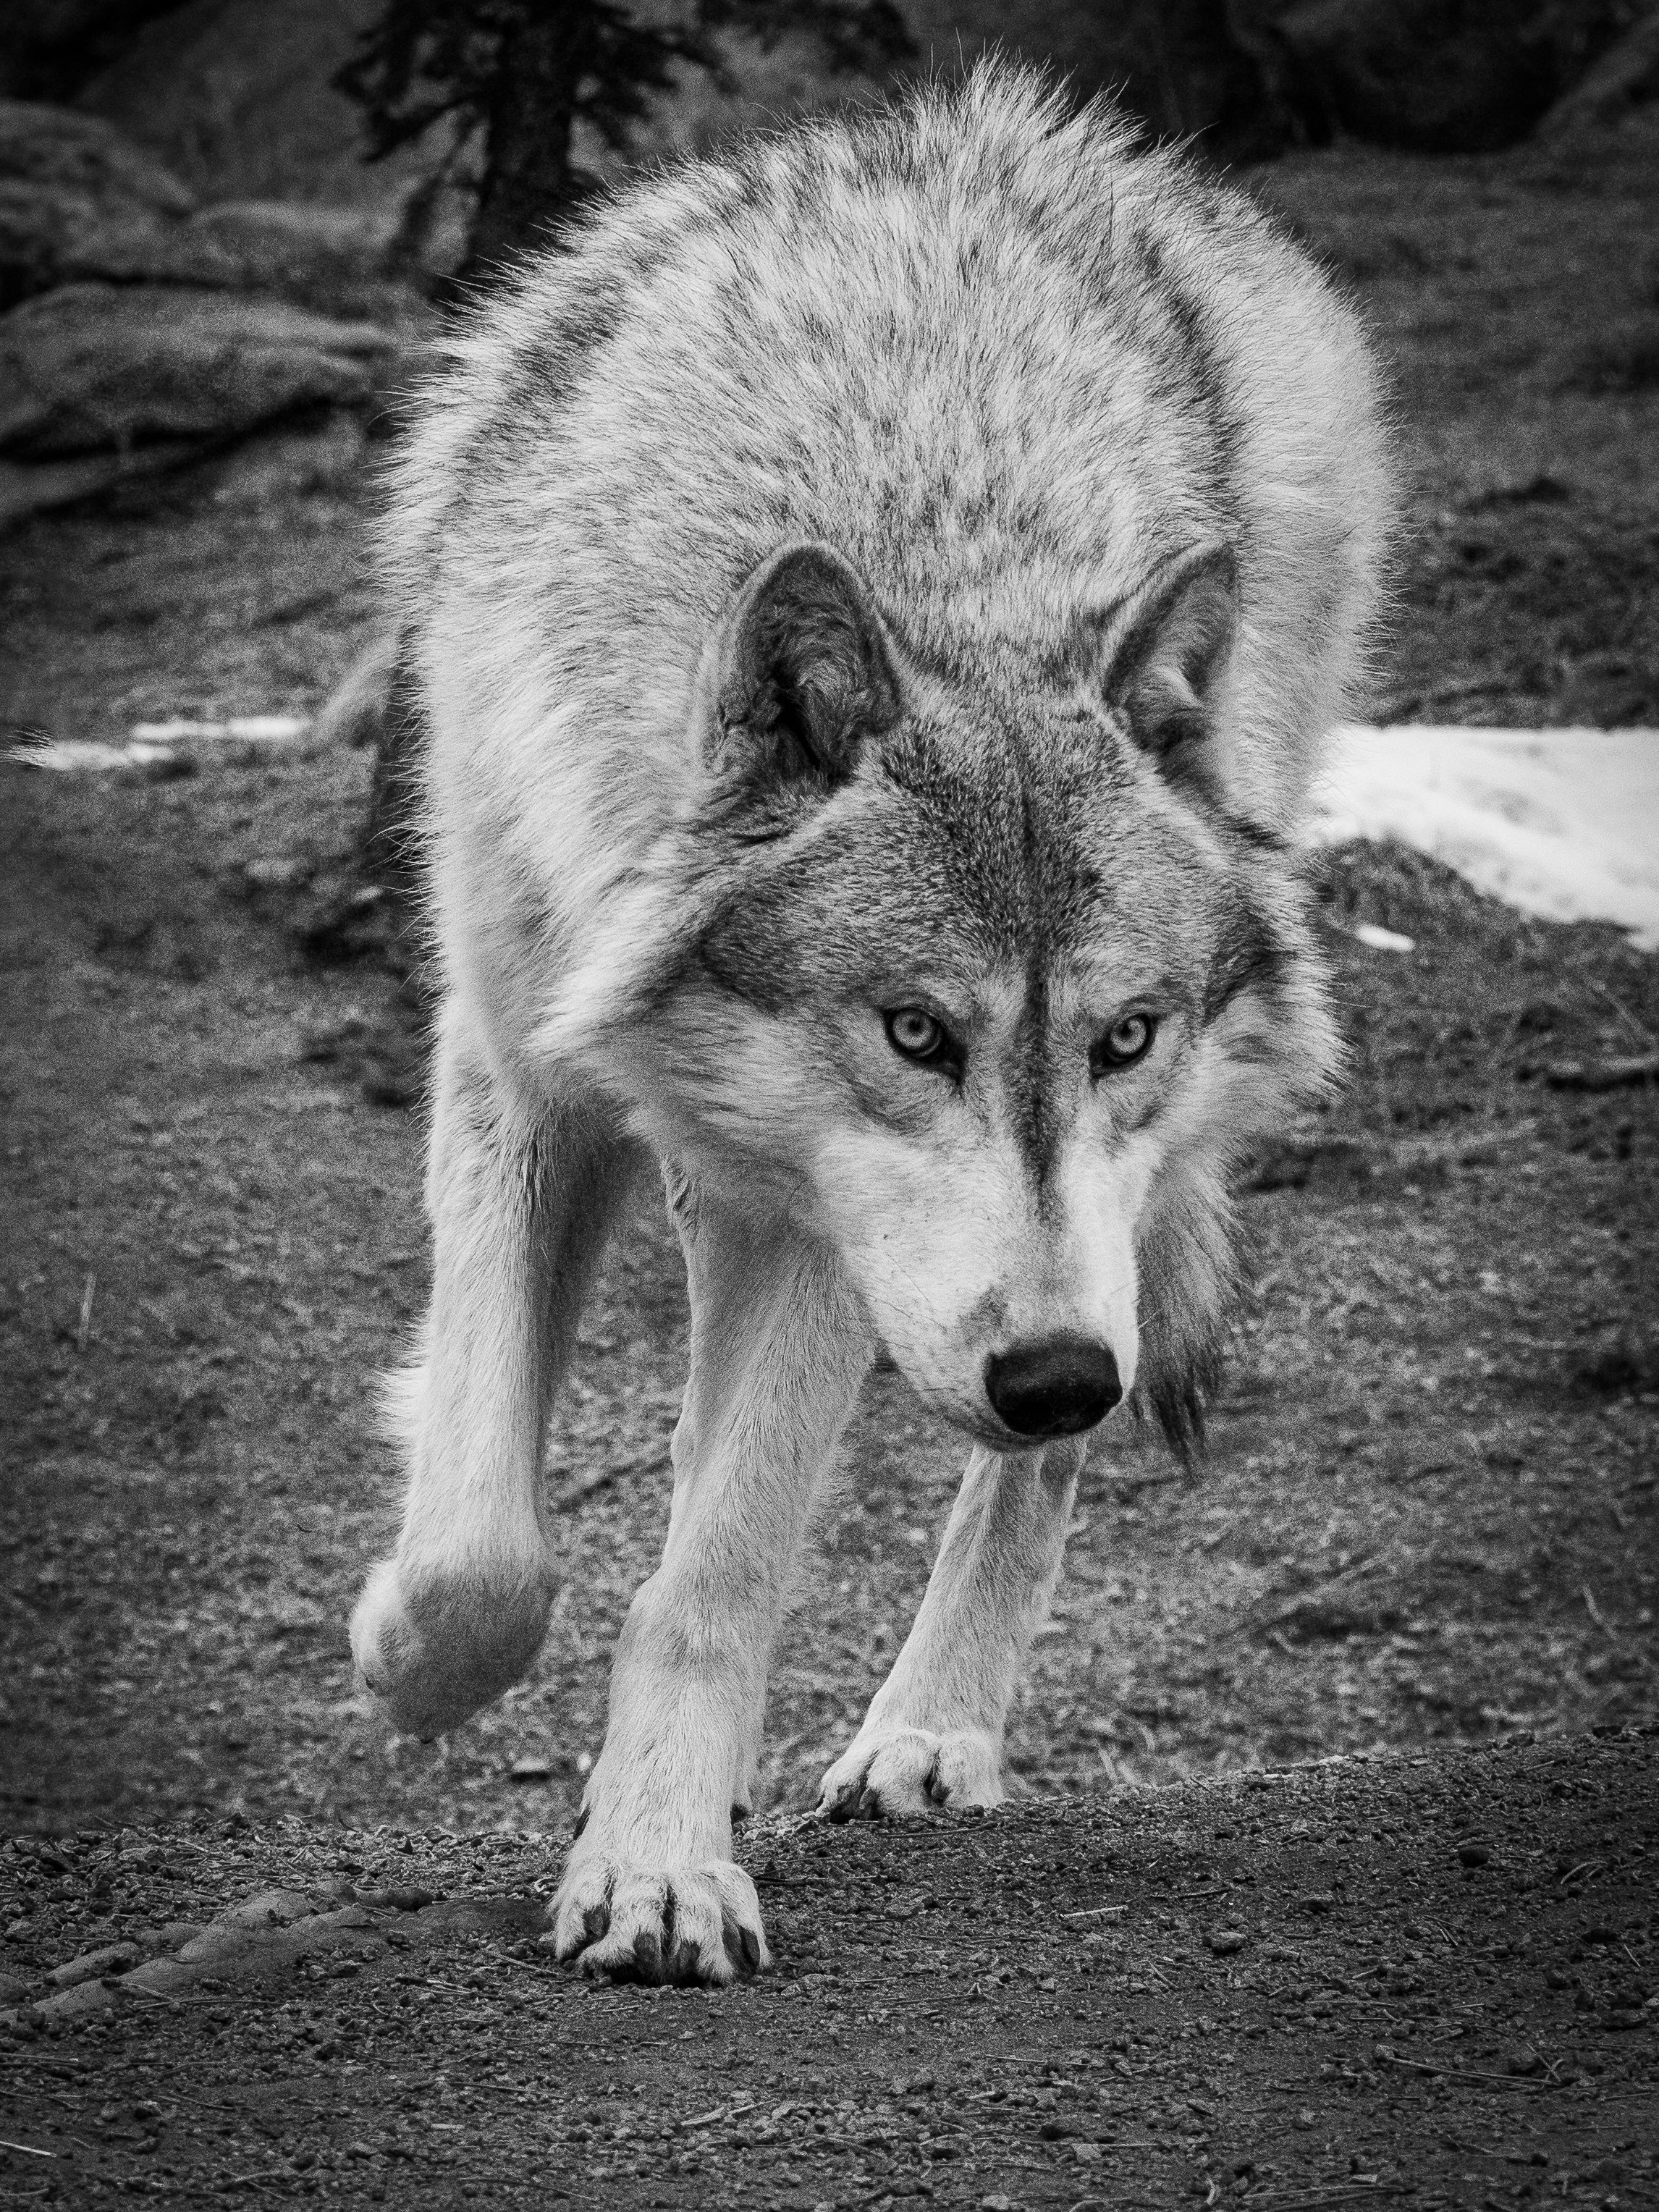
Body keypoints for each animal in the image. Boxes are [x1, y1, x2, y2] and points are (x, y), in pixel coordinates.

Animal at [349, 61, 1390, 1986]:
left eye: (1124, 1035)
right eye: (913, 1032)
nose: (1053, 1377)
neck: (930, 536)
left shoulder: (827, 1221)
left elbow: (713, 1574)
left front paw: (659, 1869)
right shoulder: (516, 1067)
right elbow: (482, 1547)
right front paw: (402, 1650)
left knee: (1006, 1463)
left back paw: (930, 1732)